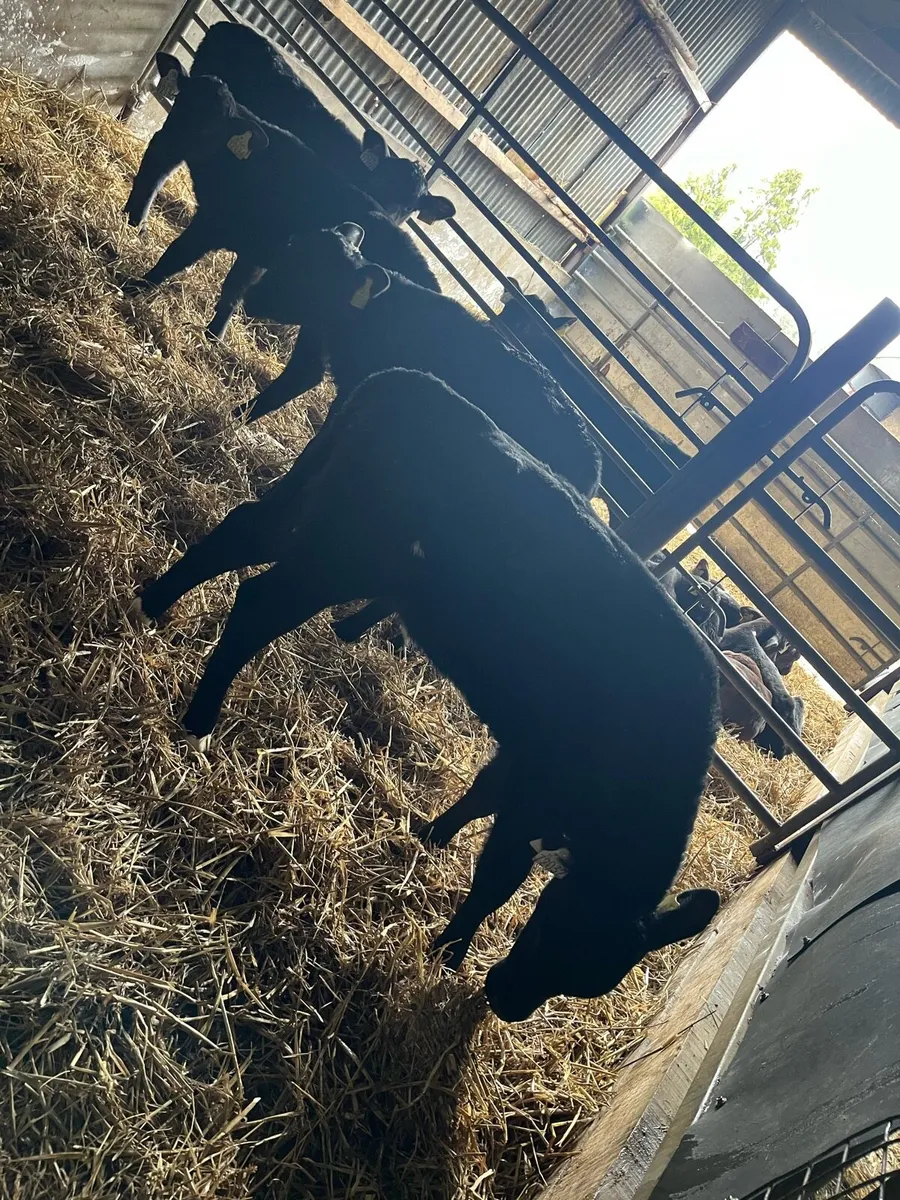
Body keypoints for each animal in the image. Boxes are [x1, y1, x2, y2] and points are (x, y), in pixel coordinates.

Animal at [136, 366, 720, 1021]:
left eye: (588, 979)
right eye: (553, 931)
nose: (506, 1004)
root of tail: (404, 380)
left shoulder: (524, 762)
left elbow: (480, 793)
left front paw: (431, 836)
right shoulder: (536, 790)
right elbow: (497, 880)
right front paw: (449, 951)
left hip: (313, 506)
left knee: (241, 529)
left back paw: (155, 602)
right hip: (346, 550)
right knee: (259, 601)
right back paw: (200, 717)